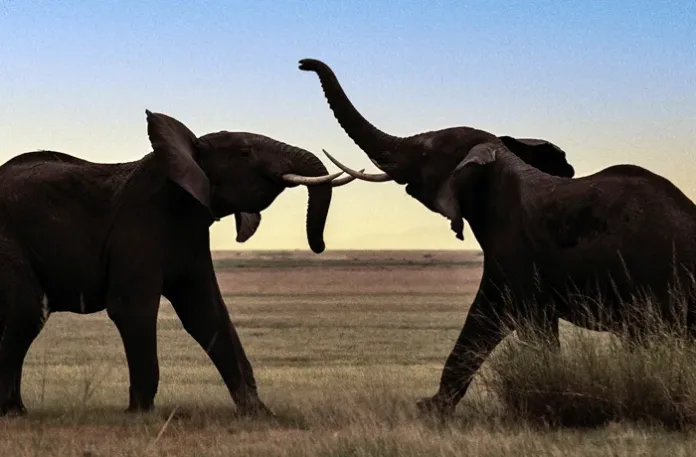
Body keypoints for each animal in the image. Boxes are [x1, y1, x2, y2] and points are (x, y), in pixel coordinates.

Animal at [0, 109, 355, 417]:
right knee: (26, 313)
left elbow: (207, 313)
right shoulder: (139, 225)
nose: (319, 246)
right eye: (244, 152)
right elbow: (132, 307)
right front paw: (141, 415)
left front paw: (259, 414)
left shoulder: (192, 237)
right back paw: (13, 413)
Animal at [298, 57, 696, 418]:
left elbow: (520, 322)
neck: (500, 162)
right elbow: (484, 318)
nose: (303, 64)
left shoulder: (516, 247)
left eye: (425, 152)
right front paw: (432, 409)